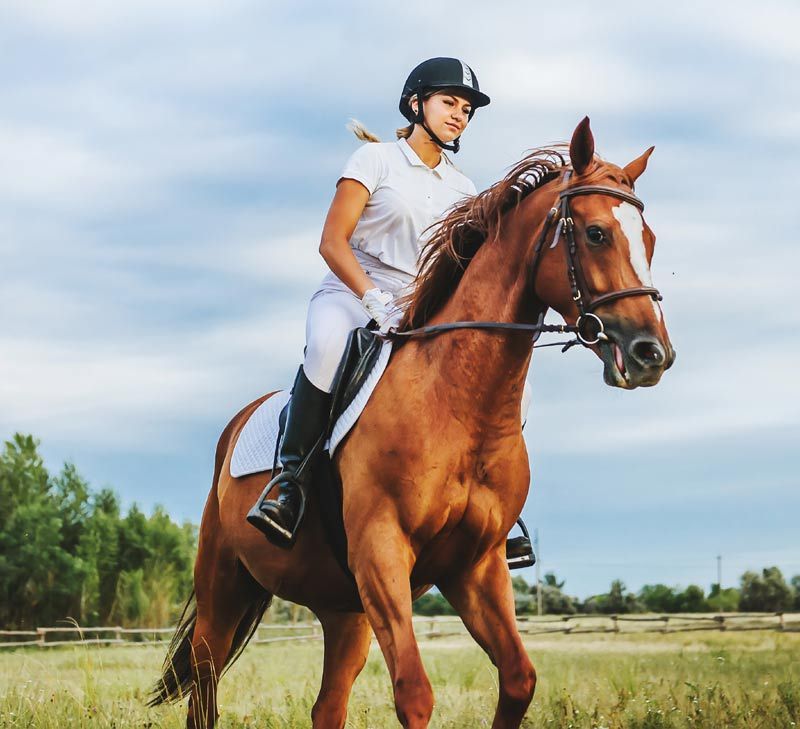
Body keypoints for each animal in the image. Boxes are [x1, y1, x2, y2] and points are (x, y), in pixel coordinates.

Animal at [152, 119, 676, 728]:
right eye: (595, 234)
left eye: (650, 241)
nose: (652, 354)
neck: (458, 404)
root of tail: (236, 423)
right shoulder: (384, 550)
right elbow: (415, 693)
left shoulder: (475, 567)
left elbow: (519, 679)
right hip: (225, 585)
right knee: (205, 686)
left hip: (345, 610)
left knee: (327, 706)